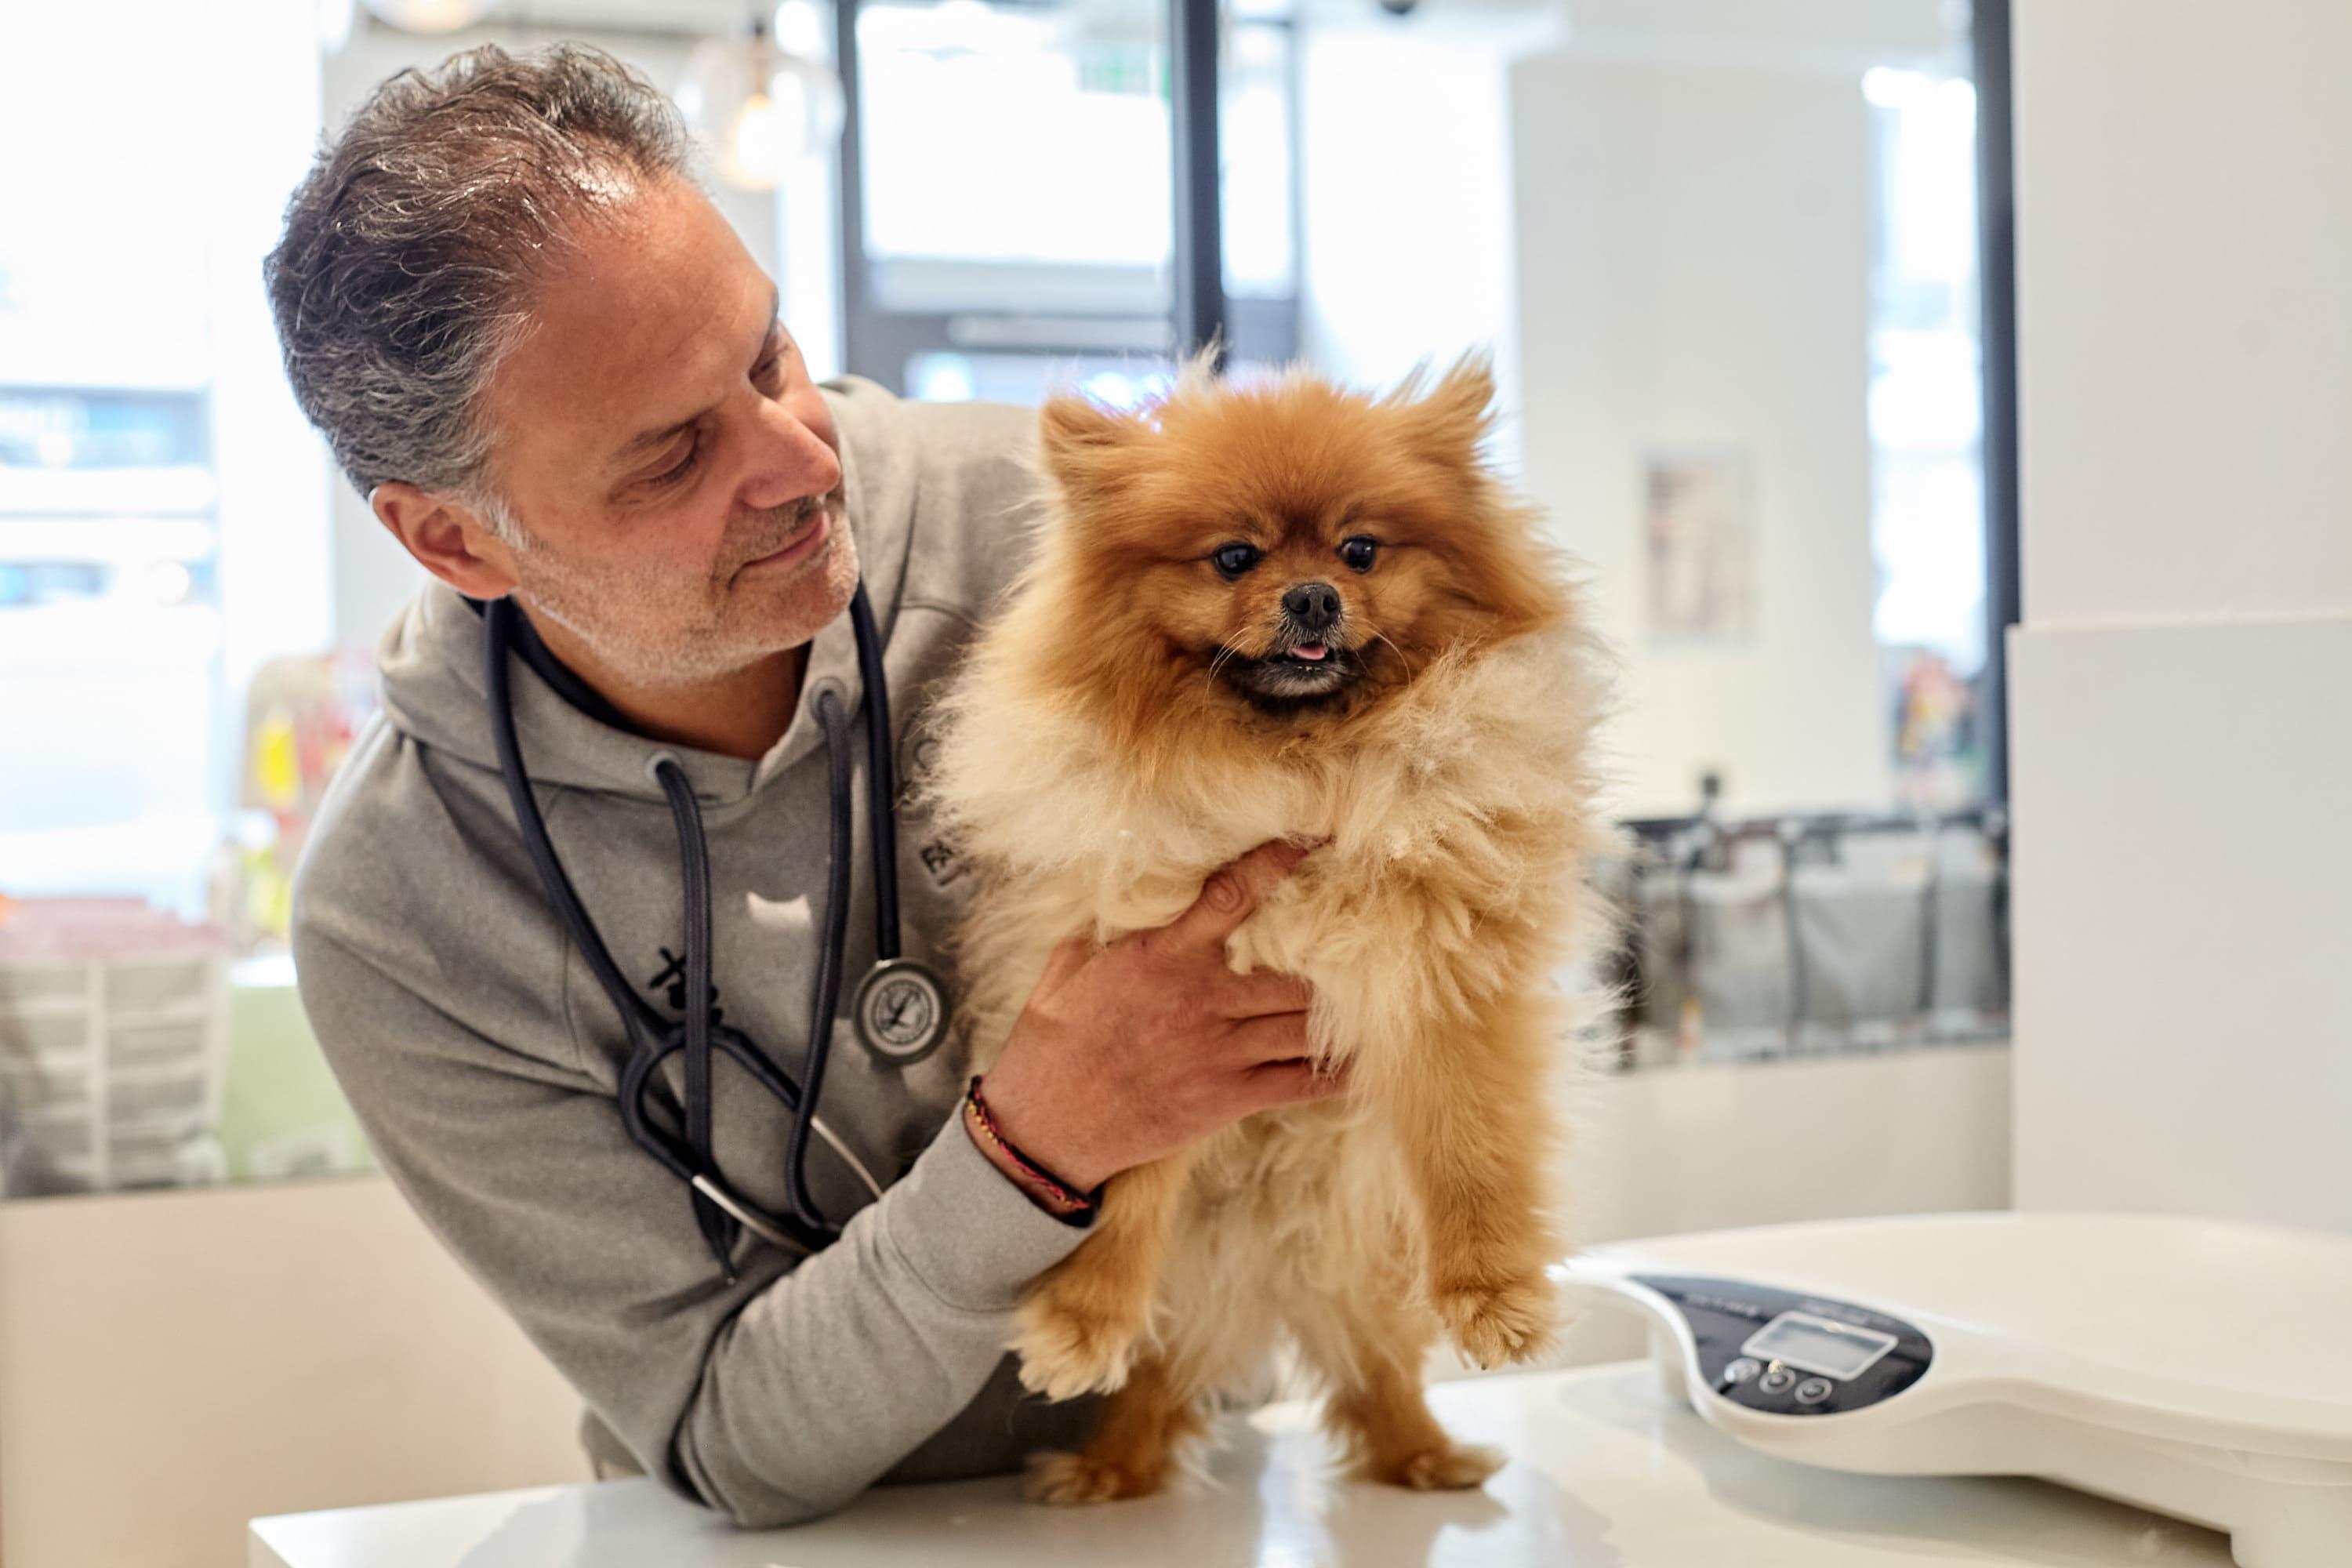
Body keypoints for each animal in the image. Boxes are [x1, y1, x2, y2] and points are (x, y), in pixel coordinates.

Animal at [922, 350, 1618, 1504]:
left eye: (1359, 548)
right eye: (1235, 556)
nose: (1311, 593)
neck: (1296, 766)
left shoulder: (1443, 974)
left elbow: (1470, 1145)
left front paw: (1495, 1297)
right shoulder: (1148, 998)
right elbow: (1126, 1187)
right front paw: (1082, 1318)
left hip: (1367, 1255)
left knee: (1378, 1365)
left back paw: (1423, 1452)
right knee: (1160, 1374)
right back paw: (1110, 1466)